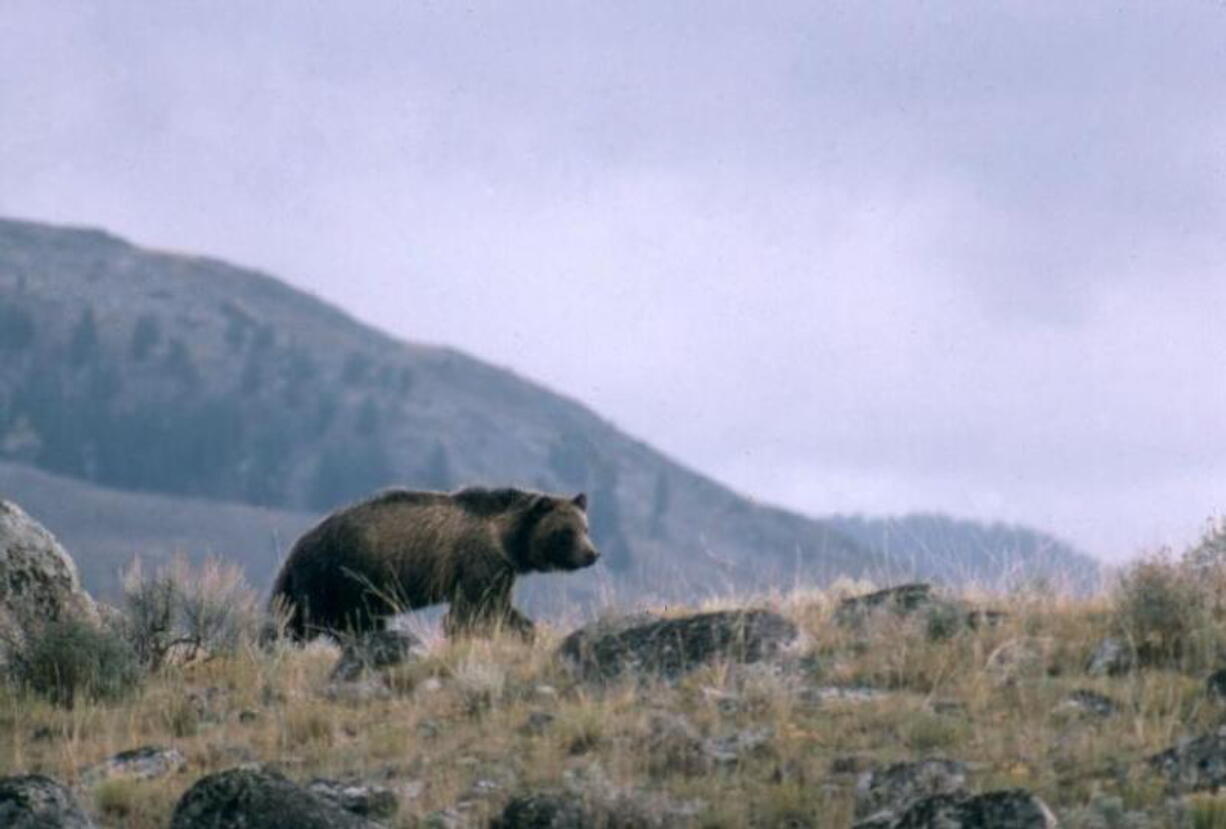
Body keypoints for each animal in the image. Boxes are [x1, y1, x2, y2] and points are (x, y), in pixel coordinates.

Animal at [268, 485, 598, 642]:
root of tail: (298, 546)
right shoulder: (477, 562)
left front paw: (527, 631)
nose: (591, 555)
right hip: (341, 577)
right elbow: (471, 612)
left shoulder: (501, 572)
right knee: (319, 623)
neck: (507, 539)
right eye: (565, 532)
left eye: (585, 528)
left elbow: (500, 608)